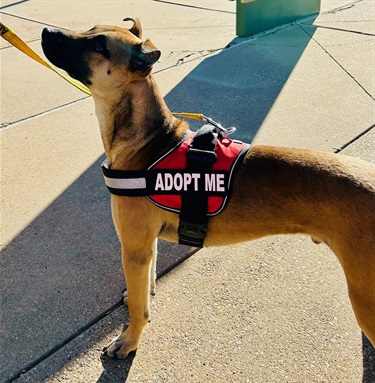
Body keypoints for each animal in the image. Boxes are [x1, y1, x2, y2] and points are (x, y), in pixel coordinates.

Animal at [39, 18, 374, 360]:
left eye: (99, 46)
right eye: (91, 29)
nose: (46, 32)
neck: (149, 141)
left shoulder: (133, 248)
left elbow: (138, 310)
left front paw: (129, 340)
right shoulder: (146, 245)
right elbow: (146, 284)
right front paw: (141, 296)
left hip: (365, 297)